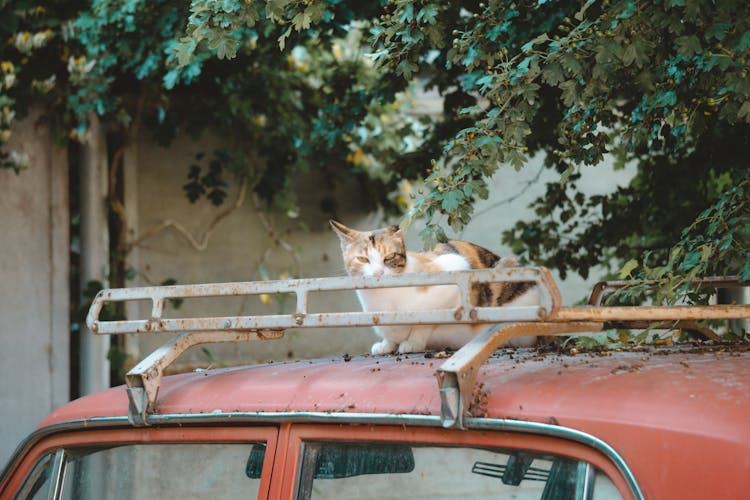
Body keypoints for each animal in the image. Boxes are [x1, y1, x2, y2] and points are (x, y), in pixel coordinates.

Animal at [330, 220, 540, 356]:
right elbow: (391, 334)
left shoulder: (454, 271)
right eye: (363, 259)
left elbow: (428, 318)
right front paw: (387, 345)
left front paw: (414, 341)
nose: (378, 273)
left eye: (389, 257)